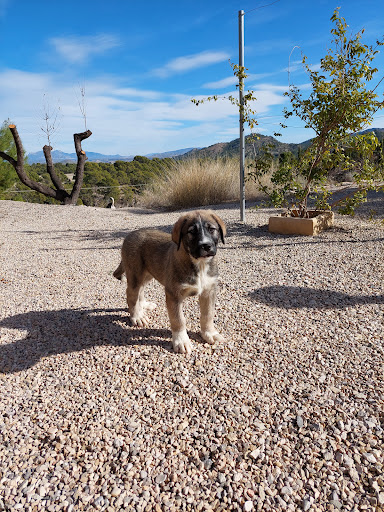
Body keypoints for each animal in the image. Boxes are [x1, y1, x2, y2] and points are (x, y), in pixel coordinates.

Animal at [114, 210, 226, 354]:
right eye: (191, 232)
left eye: (212, 229)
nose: (206, 245)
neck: (199, 264)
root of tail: (130, 234)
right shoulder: (173, 294)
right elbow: (178, 320)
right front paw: (181, 341)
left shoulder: (209, 291)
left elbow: (208, 314)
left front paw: (209, 333)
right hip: (135, 274)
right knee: (131, 295)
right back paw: (137, 316)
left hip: (147, 273)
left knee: (141, 290)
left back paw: (144, 305)